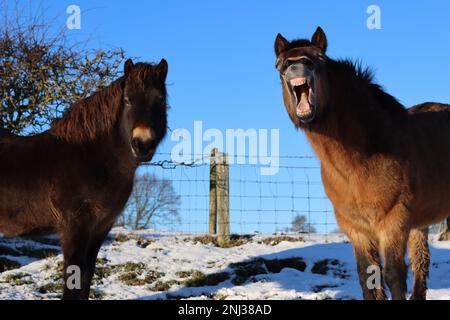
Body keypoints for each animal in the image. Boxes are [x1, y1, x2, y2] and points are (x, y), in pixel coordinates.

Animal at [0, 58, 169, 300]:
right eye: (128, 100)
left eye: (161, 100)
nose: (142, 144)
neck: (91, 156)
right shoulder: (74, 227)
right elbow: (74, 277)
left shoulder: (100, 228)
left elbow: (86, 277)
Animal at [276, 27, 448, 300]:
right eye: (279, 64)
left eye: (318, 59)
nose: (295, 66)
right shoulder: (356, 228)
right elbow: (368, 278)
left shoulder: (393, 222)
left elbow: (394, 276)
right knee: (421, 261)